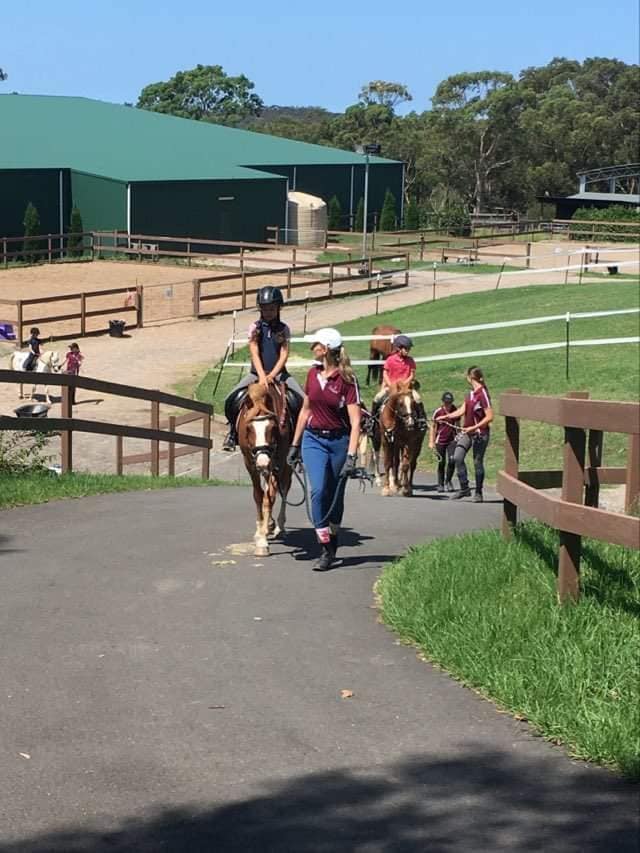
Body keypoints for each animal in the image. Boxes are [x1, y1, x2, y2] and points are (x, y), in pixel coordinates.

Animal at [238, 382, 292, 556]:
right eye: (249, 428)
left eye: (273, 428)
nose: (262, 462)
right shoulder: (250, 463)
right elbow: (258, 495)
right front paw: (260, 531)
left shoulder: (278, 463)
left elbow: (270, 499)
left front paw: (262, 542)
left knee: (284, 489)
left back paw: (279, 526)